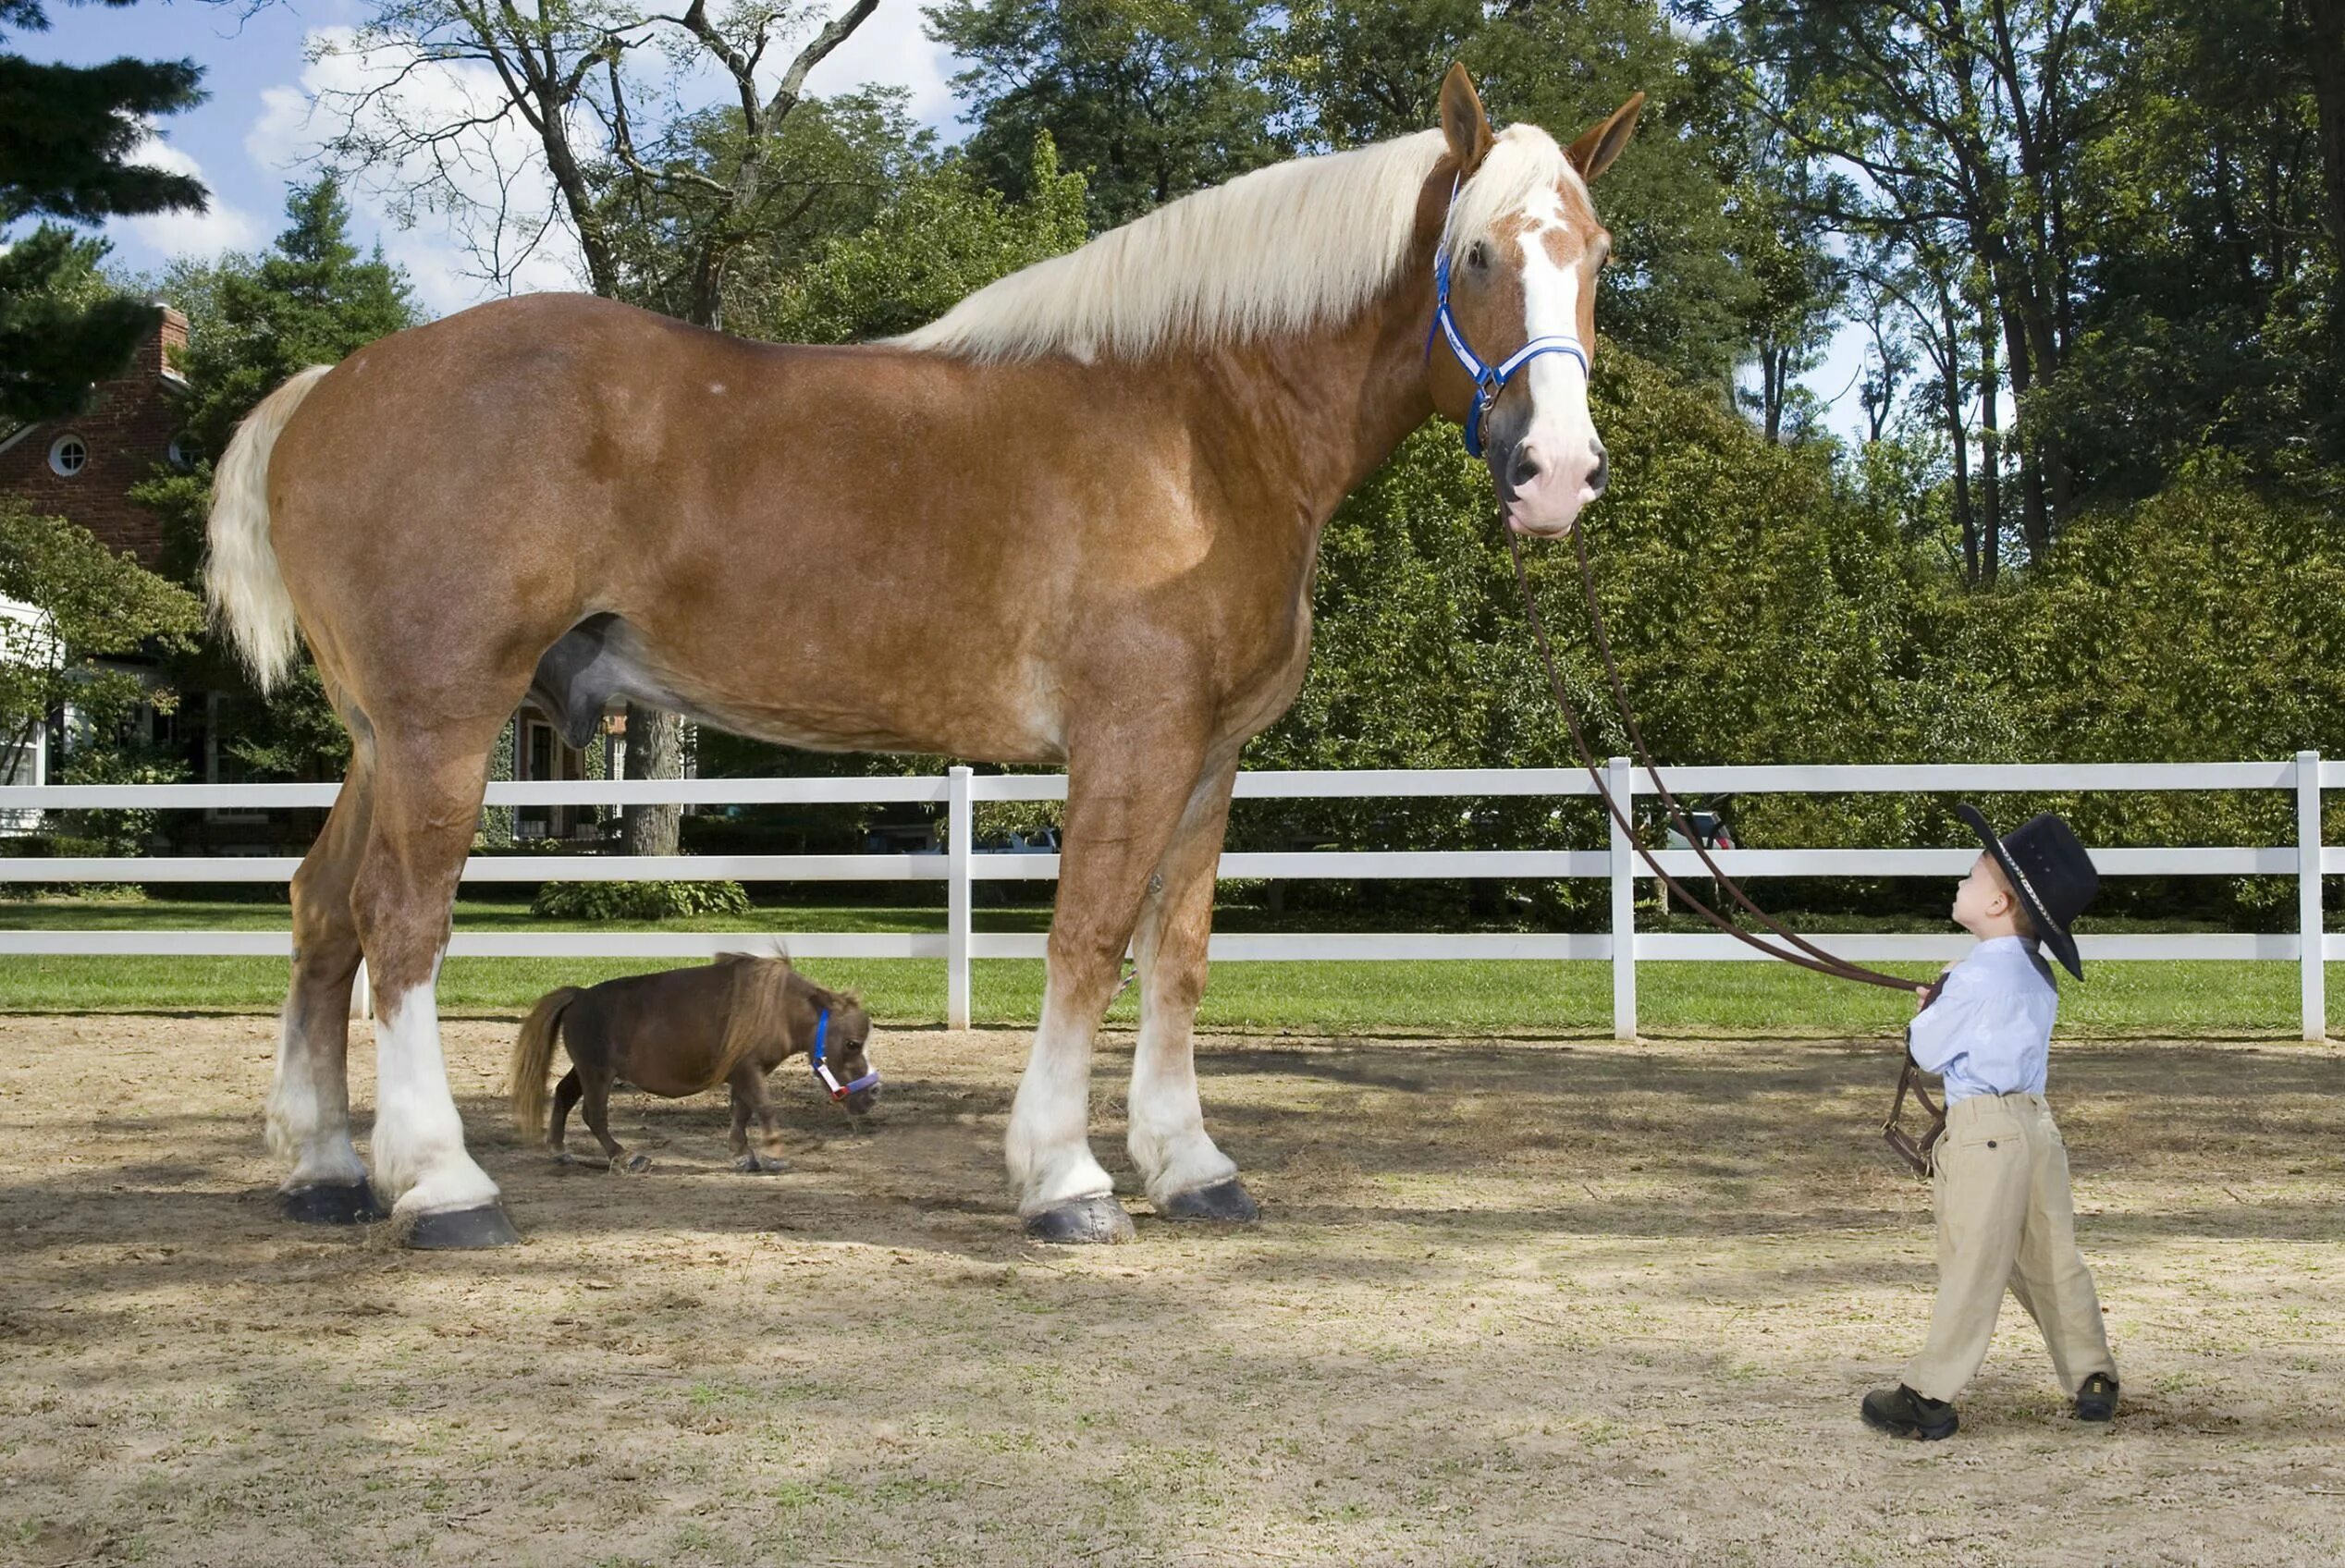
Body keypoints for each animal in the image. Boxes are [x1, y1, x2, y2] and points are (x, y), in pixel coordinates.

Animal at [509, 956, 877, 1171]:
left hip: (585, 1070)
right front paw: (773, 1150)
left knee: (563, 1095)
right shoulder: (748, 1070)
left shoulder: (744, 1074)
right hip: (597, 1073)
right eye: (852, 1044)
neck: (776, 1007)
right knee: (593, 1114)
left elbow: (743, 1112)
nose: (873, 1095)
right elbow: (764, 1107)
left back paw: (559, 1149)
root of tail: (579, 996)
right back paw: (626, 1157)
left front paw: (743, 1154)